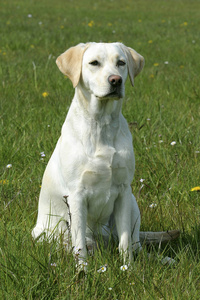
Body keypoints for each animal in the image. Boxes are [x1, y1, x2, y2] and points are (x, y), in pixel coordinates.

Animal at [32, 41, 145, 264]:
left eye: (121, 63)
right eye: (94, 63)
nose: (116, 80)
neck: (101, 124)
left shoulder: (123, 190)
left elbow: (125, 241)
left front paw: (128, 268)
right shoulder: (77, 195)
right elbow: (79, 244)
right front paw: (82, 269)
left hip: (132, 203)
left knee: (135, 241)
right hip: (45, 232)